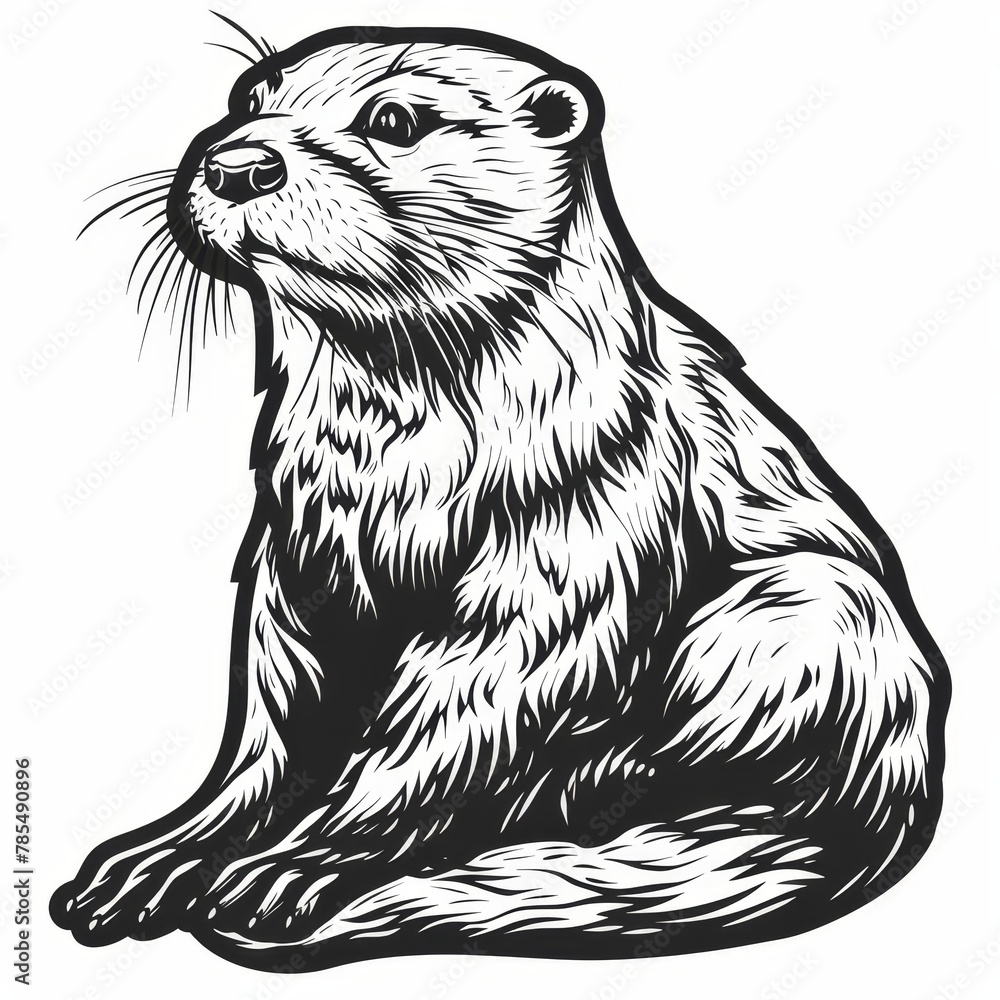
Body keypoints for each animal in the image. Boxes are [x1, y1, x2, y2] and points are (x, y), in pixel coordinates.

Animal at [51, 26, 948, 972]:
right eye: (249, 101)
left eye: (395, 120)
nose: (239, 163)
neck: (403, 458)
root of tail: (899, 791)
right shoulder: (299, 546)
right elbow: (275, 725)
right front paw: (164, 856)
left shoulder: (580, 521)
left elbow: (460, 715)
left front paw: (299, 867)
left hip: (816, 613)